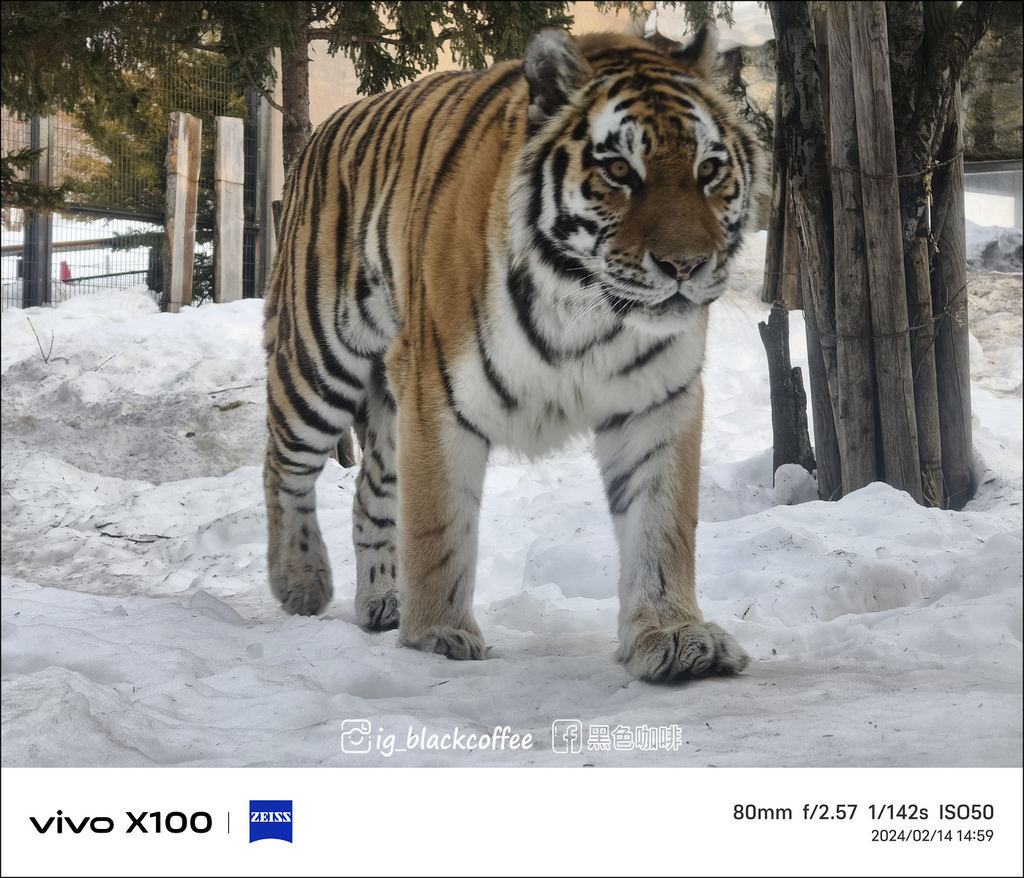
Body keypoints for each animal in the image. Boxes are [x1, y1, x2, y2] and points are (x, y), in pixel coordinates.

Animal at [260, 23, 765, 680]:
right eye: (619, 171)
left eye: (709, 170)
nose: (687, 265)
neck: (587, 307)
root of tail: (326, 126)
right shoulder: (436, 395)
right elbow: (439, 526)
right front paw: (436, 637)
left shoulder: (657, 400)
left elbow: (661, 524)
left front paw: (675, 635)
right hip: (318, 358)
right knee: (284, 465)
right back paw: (300, 580)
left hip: (388, 400)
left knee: (370, 490)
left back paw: (384, 600)